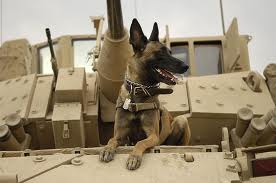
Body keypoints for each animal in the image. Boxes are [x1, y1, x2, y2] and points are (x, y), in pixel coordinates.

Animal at [100, 18, 191, 170]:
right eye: (160, 53)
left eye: (170, 52)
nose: (186, 66)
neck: (138, 91)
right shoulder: (120, 135)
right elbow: (111, 139)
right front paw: (107, 149)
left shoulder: (152, 136)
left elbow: (140, 142)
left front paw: (134, 157)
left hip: (181, 120)